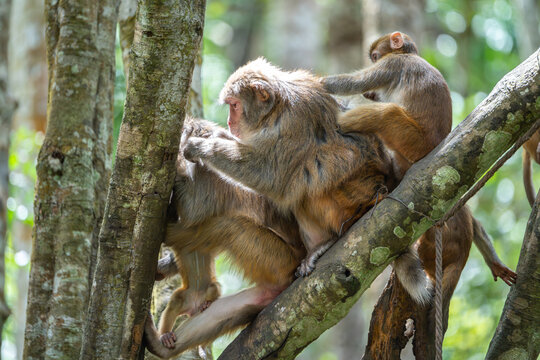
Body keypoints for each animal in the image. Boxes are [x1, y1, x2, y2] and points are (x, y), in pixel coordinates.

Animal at [320, 31, 516, 328]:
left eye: (375, 56)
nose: (373, 60)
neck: (407, 55)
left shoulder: (393, 66)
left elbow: (355, 82)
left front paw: (317, 82)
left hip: (411, 138)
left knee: (387, 113)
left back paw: (341, 123)